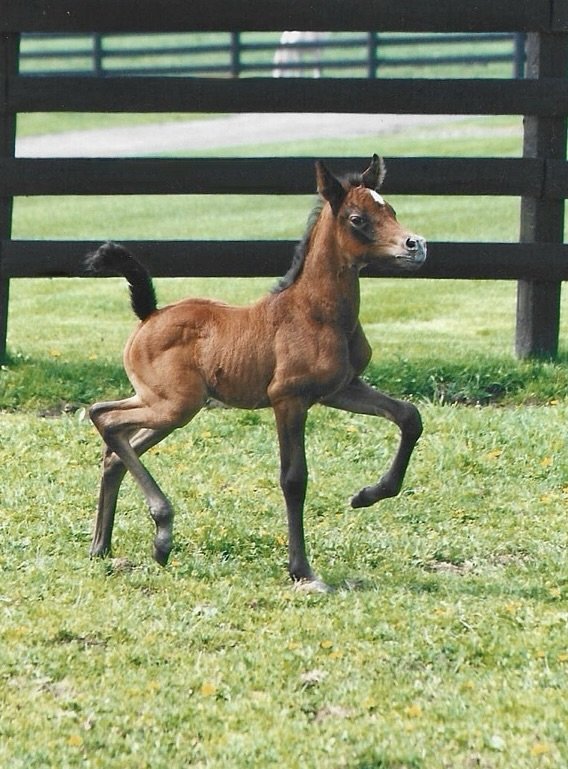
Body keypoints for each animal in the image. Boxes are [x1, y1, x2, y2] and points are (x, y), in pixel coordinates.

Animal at [85, 155, 426, 591]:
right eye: (357, 219)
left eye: (391, 210)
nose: (416, 246)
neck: (316, 314)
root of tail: (150, 314)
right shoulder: (289, 399)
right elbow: (293, 479)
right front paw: (302, 571)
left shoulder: (343, 388)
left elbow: (409, 417)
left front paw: (367, 494)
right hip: (173, 405)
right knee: (105, 417)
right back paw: (161, 534)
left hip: (167, 405)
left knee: (112, 445)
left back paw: (102, 547)